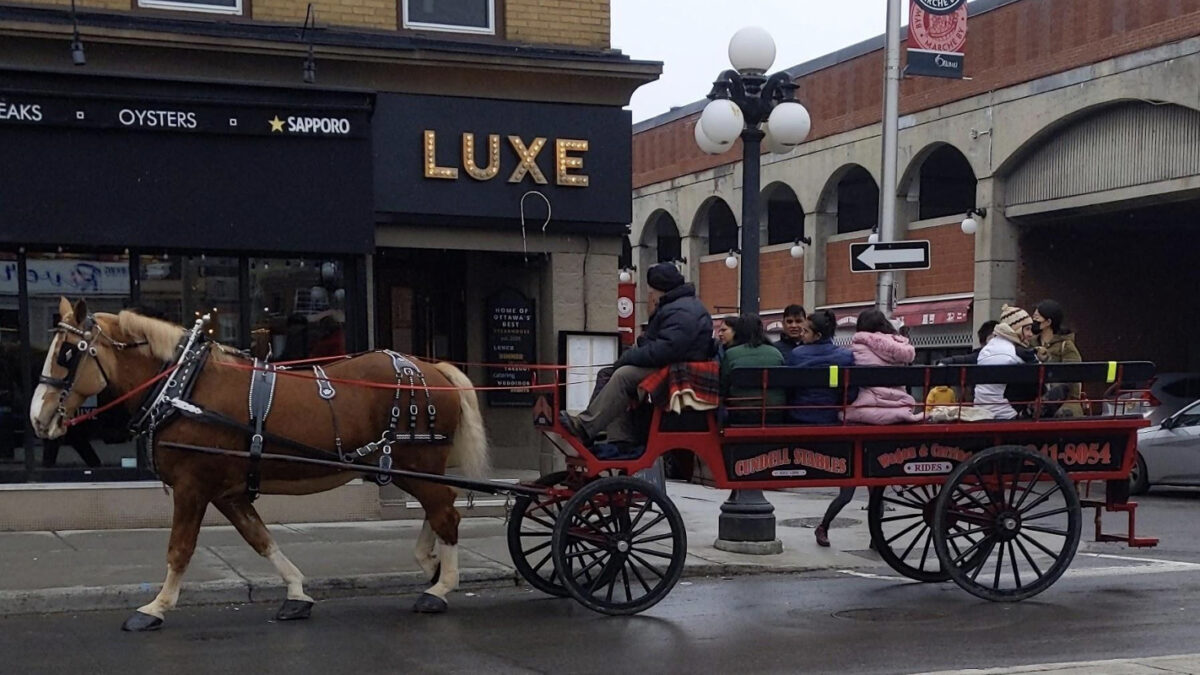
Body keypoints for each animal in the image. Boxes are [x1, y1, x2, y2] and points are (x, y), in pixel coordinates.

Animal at [29, 296, 487, 629]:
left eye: (67, 353)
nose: (37, 416)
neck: (181, 387)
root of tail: (432, 368)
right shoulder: (227, 492)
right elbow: (261, 540)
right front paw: (297, 594)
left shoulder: (192, 485)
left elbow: (180, 549)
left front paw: (154, 608)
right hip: (405, 466)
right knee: (439, 508)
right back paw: (430, 564)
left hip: (417, 461)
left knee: (445, 514)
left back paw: (439, 588)